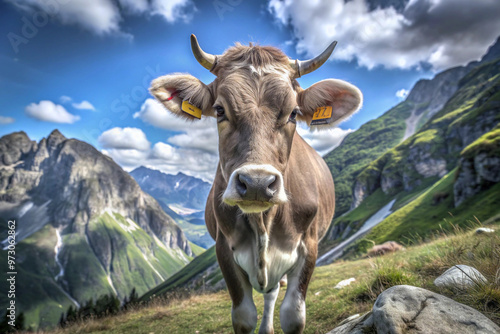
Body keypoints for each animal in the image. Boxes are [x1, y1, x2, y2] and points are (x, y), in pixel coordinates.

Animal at [150, 34, 362, 334]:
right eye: (219, 110)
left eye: (294, 113)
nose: (257, 183)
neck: (263, 221)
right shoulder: (224, 248)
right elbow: (244, 316)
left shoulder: (309, 245)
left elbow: (293, 315)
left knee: (272, 292)